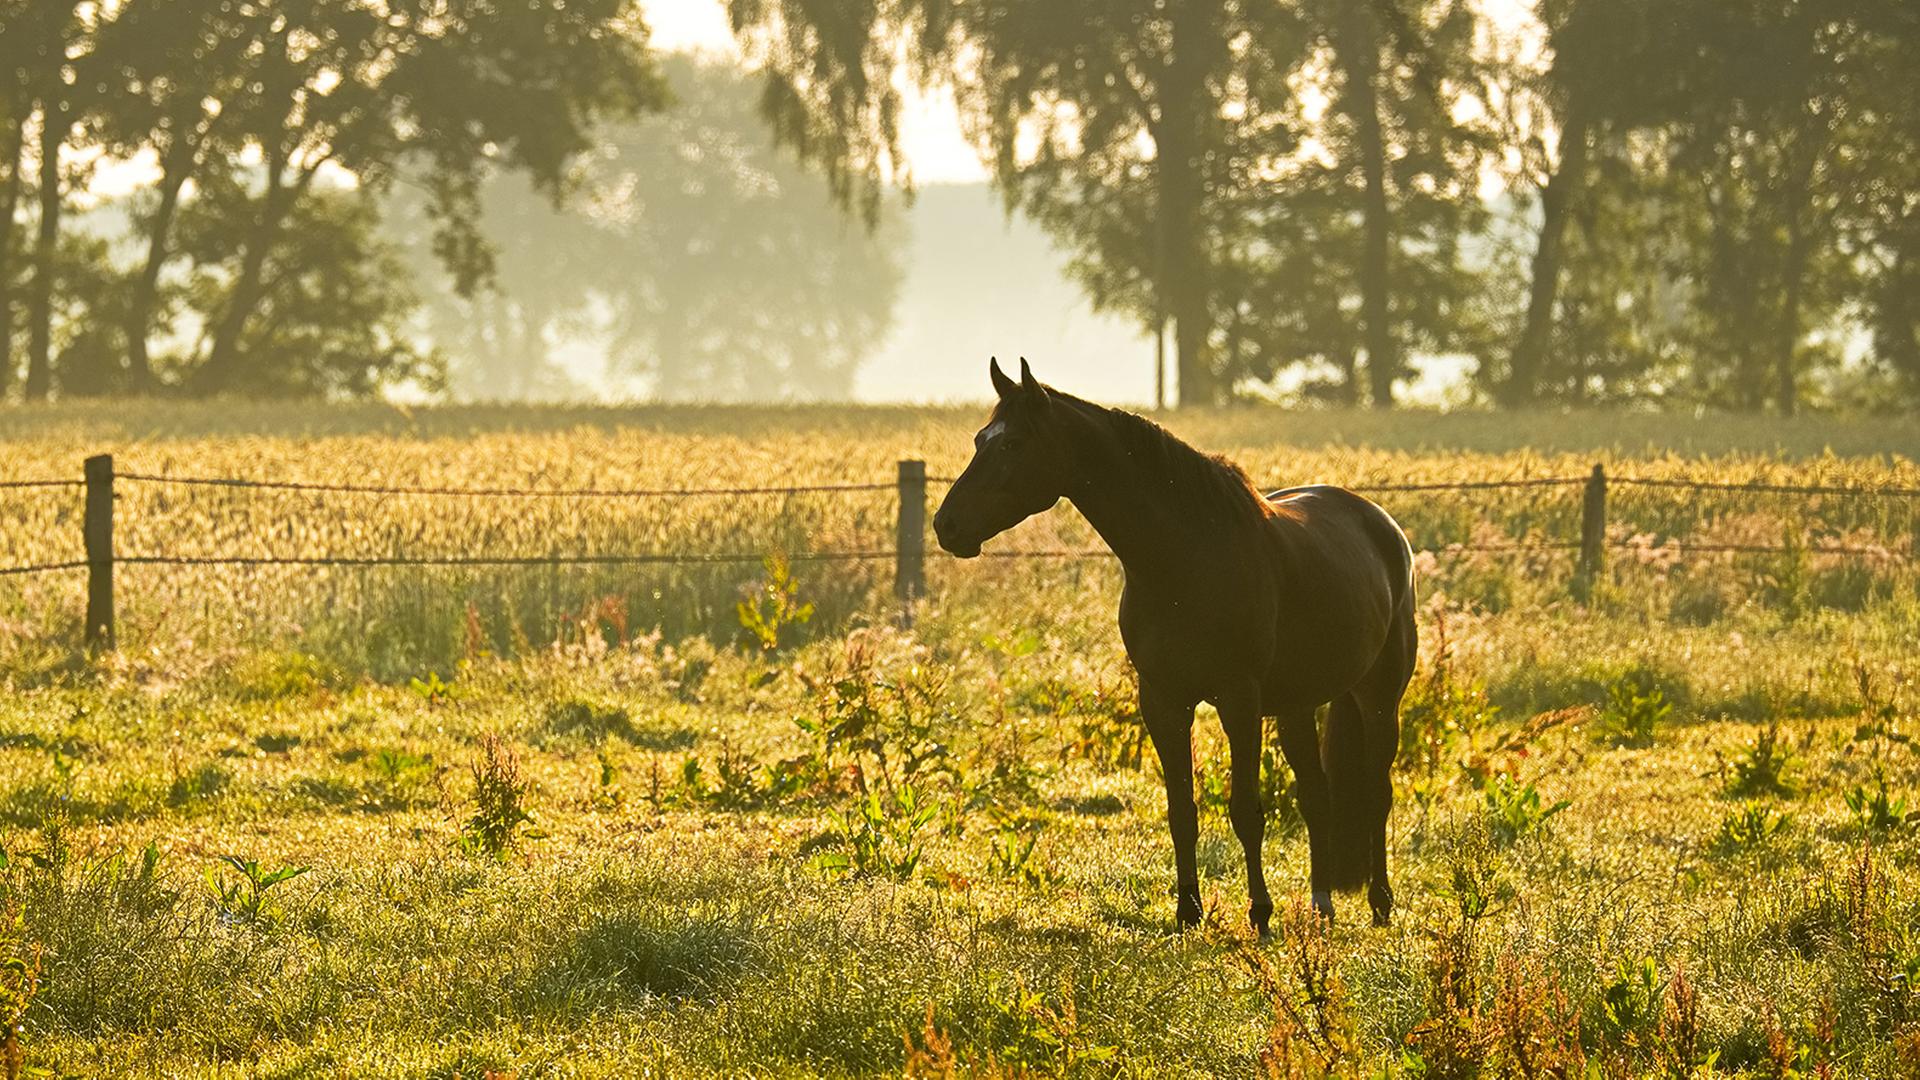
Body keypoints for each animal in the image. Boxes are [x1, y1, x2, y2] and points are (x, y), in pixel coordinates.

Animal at [932, 359, 1417, 932]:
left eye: (1012, 444)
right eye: (980, 439)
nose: (946, 525)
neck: (1184, 558)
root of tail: (1379, 522)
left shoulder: (1239, 701)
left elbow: (1245, 810)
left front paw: (1259, 913)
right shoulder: (1163, 702)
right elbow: (1180, 811)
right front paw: (1189, 910)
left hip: (1378, 696)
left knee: (1377, 794)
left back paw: (1380, 902)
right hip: (1297, 705)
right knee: (1316, 797)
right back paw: (1321, 906)